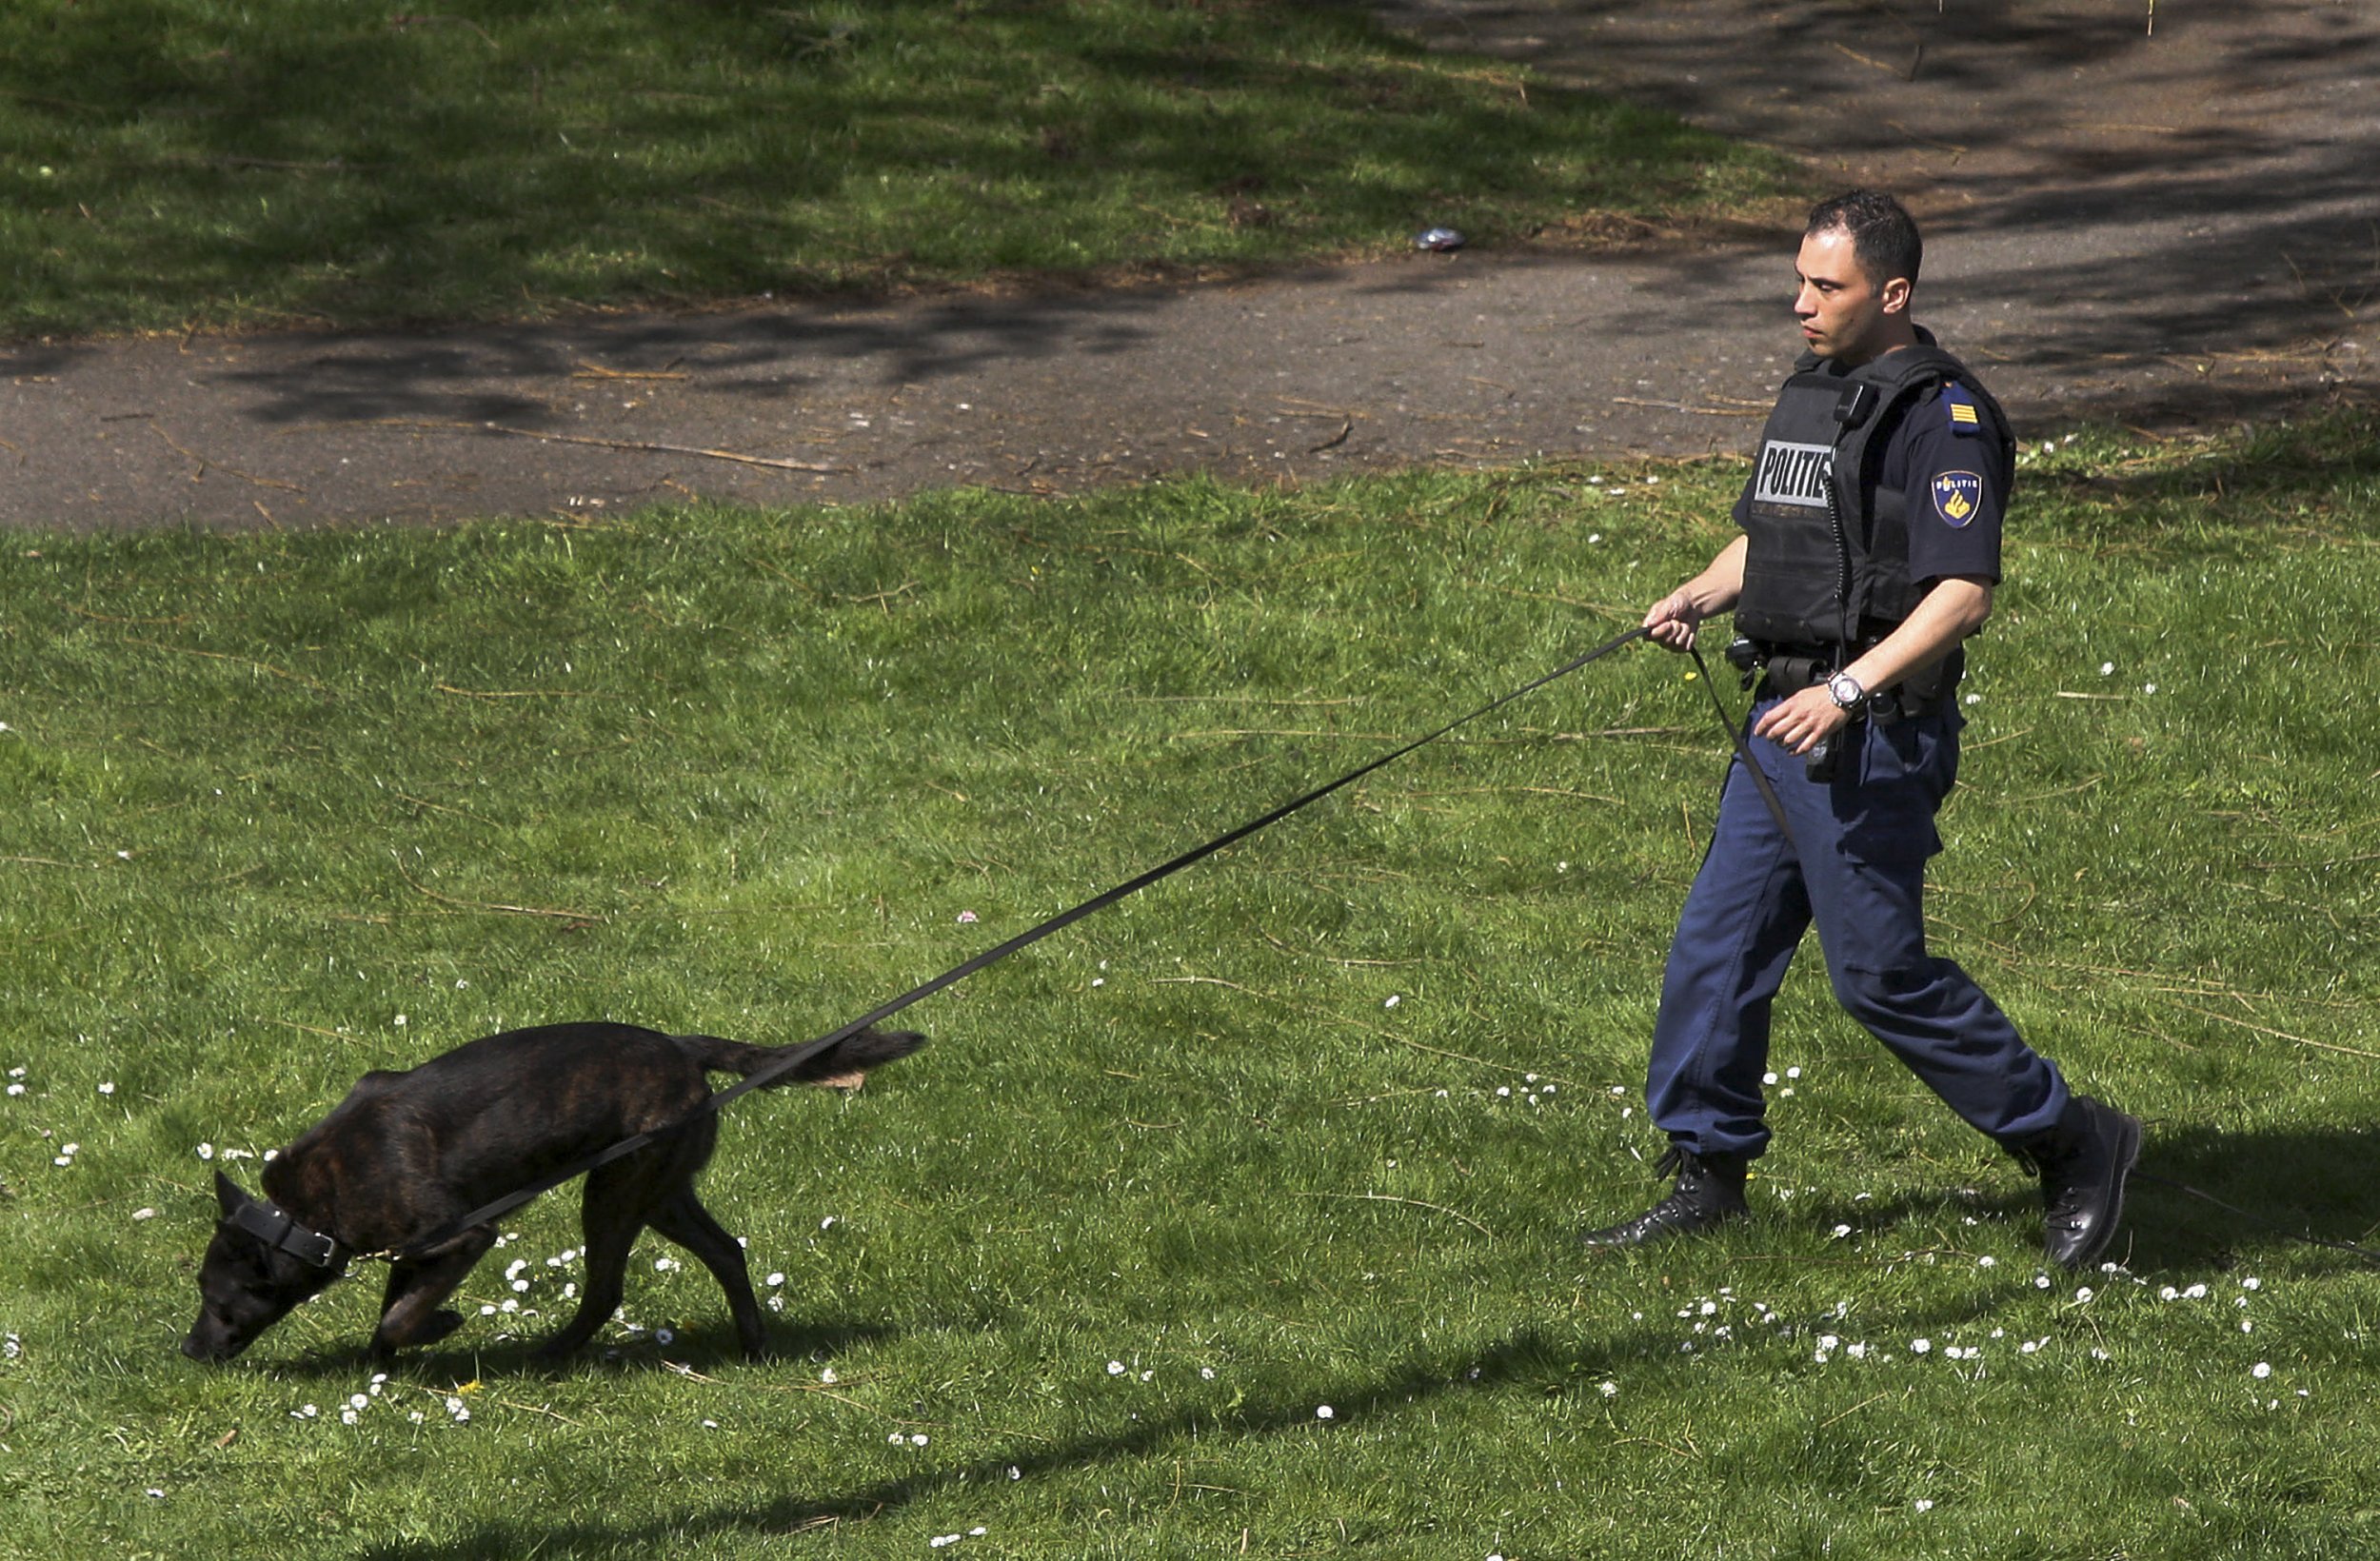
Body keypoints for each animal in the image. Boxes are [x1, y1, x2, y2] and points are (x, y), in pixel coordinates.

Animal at [186, 1018, 923, 1361]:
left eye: (219, 1302)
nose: (188, 1351)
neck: (300, 1216)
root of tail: (683, 1049)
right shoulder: (416, 1253)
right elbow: (396, 1310)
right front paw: (385, 1361)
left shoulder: (463, 1235)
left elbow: (400, 1315)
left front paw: (438, 1328)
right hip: (660, 1192)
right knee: (726, 1251)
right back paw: (753, 1345)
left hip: (615, 1193)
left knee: (606, 1289)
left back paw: (551, 1356)